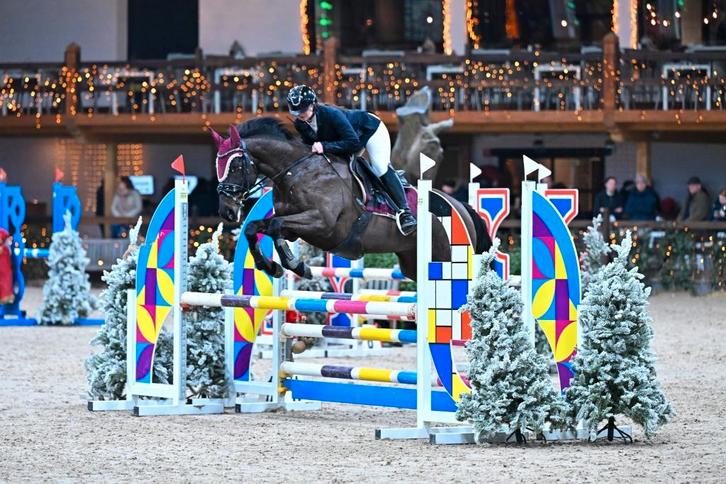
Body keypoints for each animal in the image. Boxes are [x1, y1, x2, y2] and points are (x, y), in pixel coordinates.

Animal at [210, 118, 490, 281]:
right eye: (217, 166)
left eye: (235, 166)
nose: (226, 212)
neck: (297, 170)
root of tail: (458, 206)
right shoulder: (295, 225)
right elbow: (256, 227)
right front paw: (272, 267)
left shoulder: (322, 224)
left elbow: (276, 225)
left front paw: (294, 265)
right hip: (412, 261)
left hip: (443, 255)